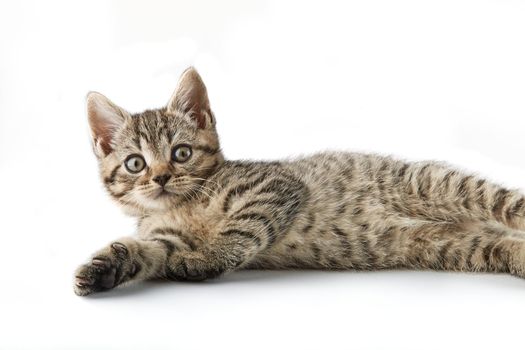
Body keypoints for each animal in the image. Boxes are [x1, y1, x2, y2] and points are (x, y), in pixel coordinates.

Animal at [72, 66, 524, 296]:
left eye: (181, 153)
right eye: (135, 164)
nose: (162, 177)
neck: (183, 206)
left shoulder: (273, 187)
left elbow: (240, 229)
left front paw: (208, 258)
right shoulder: (165, 238)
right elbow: (146, 251)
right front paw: (105, 269)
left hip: (437, 185)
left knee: (507, 204)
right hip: (455, 246)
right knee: (501, 244)